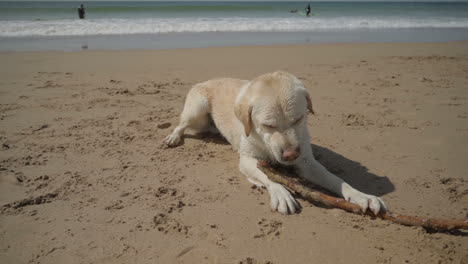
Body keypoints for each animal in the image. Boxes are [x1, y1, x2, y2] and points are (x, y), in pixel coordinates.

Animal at [166, 71, 386, 214]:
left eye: (299, 119)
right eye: (268, 125)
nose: (291, 155)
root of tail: (206, 79)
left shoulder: (307, 162)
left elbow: (336, 179)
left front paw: (361, 195)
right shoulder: (247, 159)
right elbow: (267, 176)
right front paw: (281, 193)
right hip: (197, 109)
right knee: (181, 124)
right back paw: (173, 137)